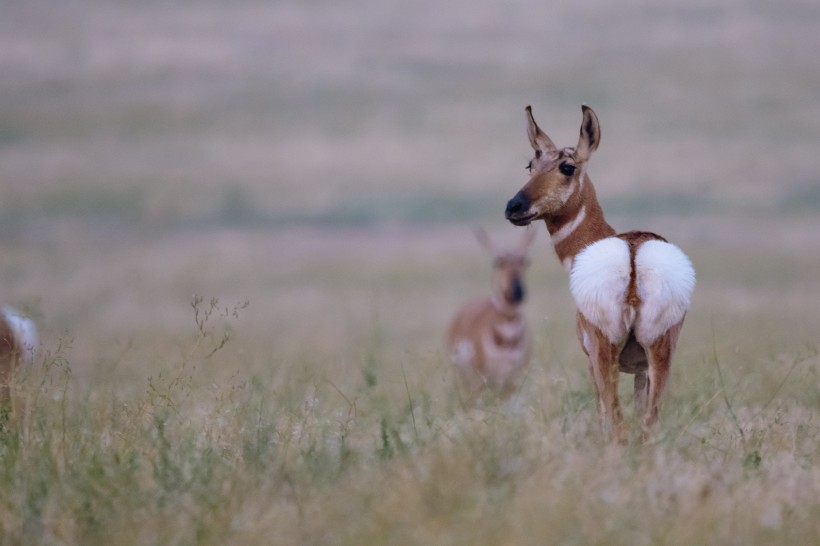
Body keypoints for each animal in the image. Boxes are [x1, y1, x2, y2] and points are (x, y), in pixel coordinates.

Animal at [446, 225, 536, 396]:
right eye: (498, 263)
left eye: (526, 262)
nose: (518, 291)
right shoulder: (483, 378)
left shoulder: (514, 378)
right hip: (465, 377)